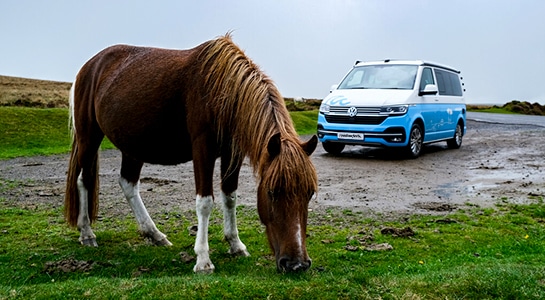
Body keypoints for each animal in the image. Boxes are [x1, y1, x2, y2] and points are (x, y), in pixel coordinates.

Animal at [64, 34, 318, 274]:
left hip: (132, 146)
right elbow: (205, 202)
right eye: (272, 192)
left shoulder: (232, 153)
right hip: (89, 137)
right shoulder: (202, 149)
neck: (223, 89)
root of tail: (90, 66)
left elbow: (230, 197)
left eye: (309, 193)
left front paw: (235, 245)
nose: (296, 264)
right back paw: (87, 233)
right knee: (84, 179)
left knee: (128, 184)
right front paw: (203, 260)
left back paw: (154, 234)